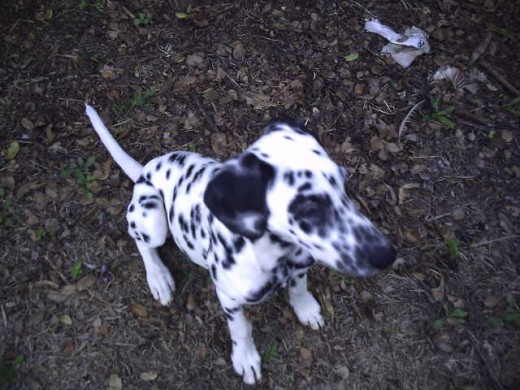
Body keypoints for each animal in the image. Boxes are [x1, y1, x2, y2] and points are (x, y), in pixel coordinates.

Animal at [85, 104, 396, 386]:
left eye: (345, 184)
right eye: (308, 207)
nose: (387, 255)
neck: (274, 255)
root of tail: (145, 169)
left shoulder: (300, 265)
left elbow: (299, 288)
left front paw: (305, 308)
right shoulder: (230, 299)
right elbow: (241, 330)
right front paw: (245, 358)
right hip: (152, 220)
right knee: (141, 242)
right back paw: (158, 277)